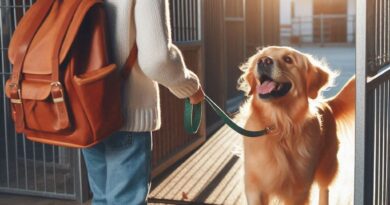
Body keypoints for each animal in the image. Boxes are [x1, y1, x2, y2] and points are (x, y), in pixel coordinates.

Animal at [236, 46, 354, 205]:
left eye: (288, 59)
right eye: (261, 57)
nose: (264, 61)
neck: (279, 126)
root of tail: (327, 103)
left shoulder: (299, 190)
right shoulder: (254, 186)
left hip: (327, 165)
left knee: (324, 189)